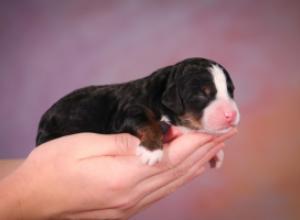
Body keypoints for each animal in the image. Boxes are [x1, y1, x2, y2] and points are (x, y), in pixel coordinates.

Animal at [36, 58, 240, 167]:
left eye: (230, 91)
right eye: (201, 94)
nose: (231, 115)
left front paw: (217, 155)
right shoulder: (128, 111)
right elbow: (148, 122)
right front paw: (151, 151)